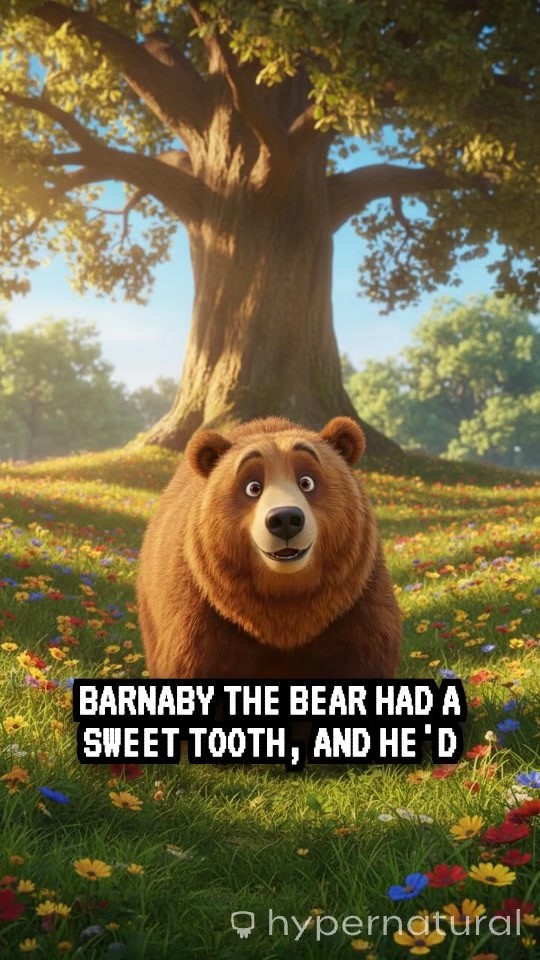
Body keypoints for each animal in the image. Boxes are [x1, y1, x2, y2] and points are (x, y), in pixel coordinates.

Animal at [137, 416, 402, 680]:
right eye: (253, 487)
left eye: (306, 482)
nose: (284, 518)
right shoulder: (202, 610)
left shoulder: (355, 603)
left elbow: (360, 658)